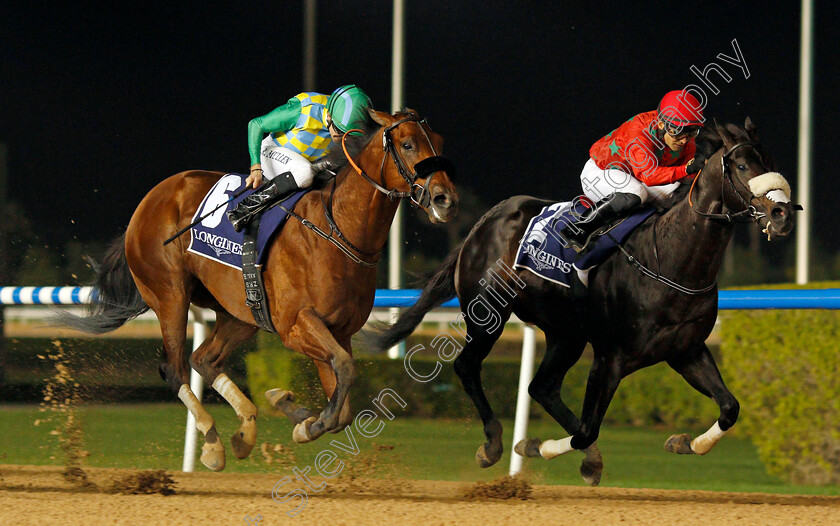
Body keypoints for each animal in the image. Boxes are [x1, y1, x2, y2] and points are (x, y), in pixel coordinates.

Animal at [61, 109, 456, 472]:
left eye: (439, 141)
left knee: (203, 359)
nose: (445, 199)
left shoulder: (338, 331)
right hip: (170, 294)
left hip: (240, 311)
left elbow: (343, 404)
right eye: (407, 144)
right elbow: (343, 373)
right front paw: (305, 422)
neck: (336, 230)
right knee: (174, 368)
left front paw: (292, 410)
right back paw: (213, 444)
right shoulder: (295, 325)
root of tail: (150, 200)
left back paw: (243, 433)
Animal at [368, 119, 796, 486]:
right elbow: (589, 428)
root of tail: (482, 223)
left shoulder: (685, 350)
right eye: (741, 165)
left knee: (542, 387)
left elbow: (730, 407)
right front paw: (537, 446)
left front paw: (683, 442)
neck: (669, 257)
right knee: (468, 367)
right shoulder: (610, 357)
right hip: (489, 312)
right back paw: (493, 444)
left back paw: (584, 457)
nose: (782, 213)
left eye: (771, 163)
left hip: (565, 333)